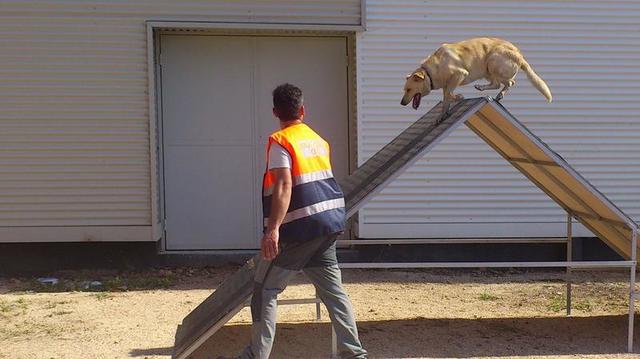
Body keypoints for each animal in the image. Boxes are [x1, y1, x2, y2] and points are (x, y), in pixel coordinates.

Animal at [402, 37, 552, 120]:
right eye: (405, 90)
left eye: (409, 89)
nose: (402, 103)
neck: (430, 71)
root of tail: (520, 55)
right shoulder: (446, 85)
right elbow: (446, 99)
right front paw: (441, 116)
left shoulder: (460, 74)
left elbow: (450, 94)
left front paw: (459, 97)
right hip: (487, 70)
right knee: (501, 83)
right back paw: (492, 92)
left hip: (493, 61)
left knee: (507, 82)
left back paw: (489, 90)